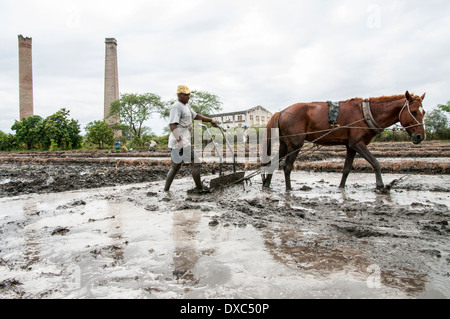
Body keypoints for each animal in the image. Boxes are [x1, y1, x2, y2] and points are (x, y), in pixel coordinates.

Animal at [260, 90, 426, 190]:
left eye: (423, 112)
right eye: (413, 111)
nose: (420, 136)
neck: (366, 114)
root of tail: (282, 111)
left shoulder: (350, 146)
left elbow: (346, 169)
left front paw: (341, 187)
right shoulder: (357, 143)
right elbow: (375, 163)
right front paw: (381, 186)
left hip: (285, 144)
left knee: (274, 163)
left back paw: (267, 185)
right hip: (295, 144)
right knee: (287, 167)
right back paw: (289, 190)